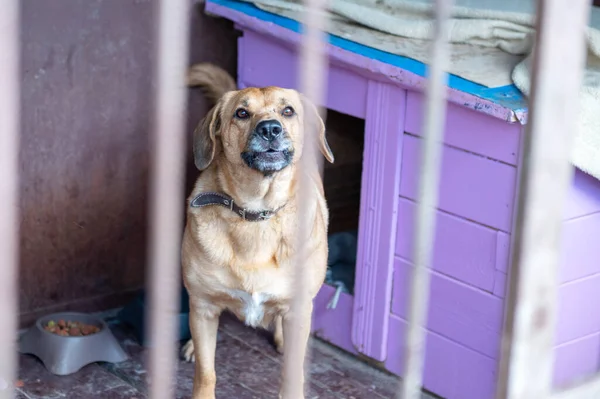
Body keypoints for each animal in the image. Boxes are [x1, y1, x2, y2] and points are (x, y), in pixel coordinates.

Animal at [180, 63, 336, 399]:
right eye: (241, 113)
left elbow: (292, 374)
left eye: (288, 111)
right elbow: (206, 372)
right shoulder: (203, 306)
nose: (270, 129)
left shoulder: (297, 308)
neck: (255, 213)